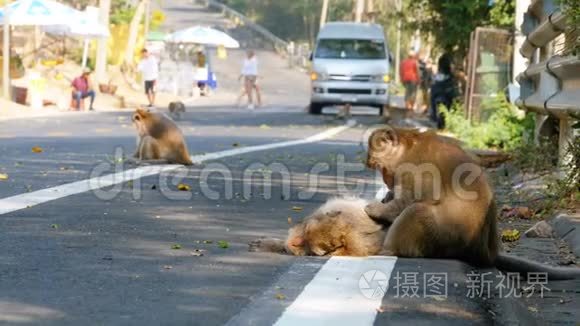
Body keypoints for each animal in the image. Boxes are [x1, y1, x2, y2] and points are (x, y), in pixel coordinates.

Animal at [364, 127, 580, 280]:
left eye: (380, 167)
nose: (386, 182)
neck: (408, 147)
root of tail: (484, 253)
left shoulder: (412, 171)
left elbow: (407, 201)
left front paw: (375, 208)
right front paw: (387, 197)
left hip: (445, 236)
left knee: (416, 210)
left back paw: (387, 250)